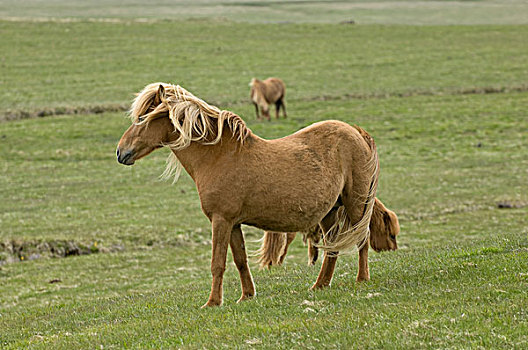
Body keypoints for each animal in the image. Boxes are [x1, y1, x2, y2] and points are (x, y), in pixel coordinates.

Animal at [116, 82, 380, 306]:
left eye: (142, 118)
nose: (120, 152)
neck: (217, 156)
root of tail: (357, 133)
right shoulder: (233, 223)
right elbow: (240, 260)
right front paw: (246, 296)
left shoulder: (220, 220)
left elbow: (218, 263)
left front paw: (212, 302)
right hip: (329, 212)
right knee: (332, 248)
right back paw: (320, 285)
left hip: (355, 205)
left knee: (362, 238)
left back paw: (361, 279)